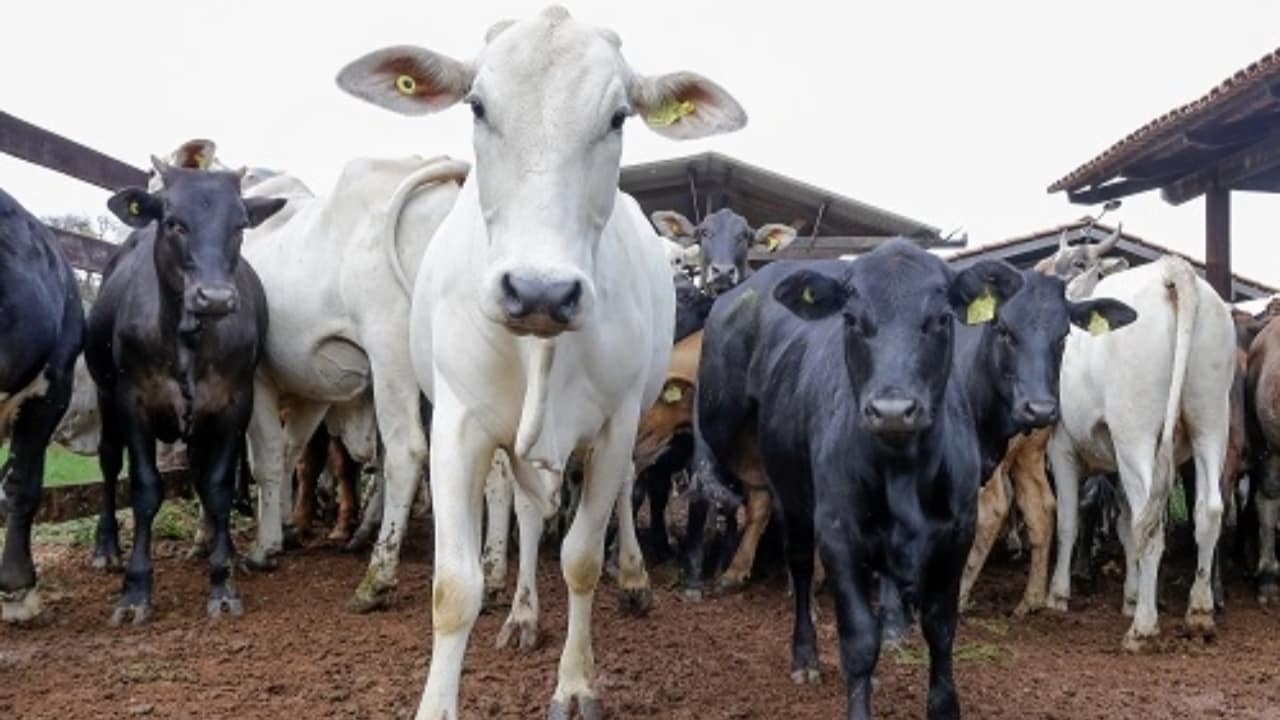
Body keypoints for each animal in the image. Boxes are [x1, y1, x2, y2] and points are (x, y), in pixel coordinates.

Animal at [87, 159, 282, 620]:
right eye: (174, 222)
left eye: (240, 225)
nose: (215, 297)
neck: (188, 341)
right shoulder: (133, 402)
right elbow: (144, 489)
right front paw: (135, 590)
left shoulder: (234, 403)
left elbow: (217, 486)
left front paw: (223, 579)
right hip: (104, 395)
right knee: (108, 463)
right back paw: (106, 547)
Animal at [337, 7, 747, 717]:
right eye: (477, 105)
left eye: (618, 117)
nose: (540, 291)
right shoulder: (459, 426)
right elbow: (454, 588)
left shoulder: (615, 427)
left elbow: (582, 557)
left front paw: (576, 683)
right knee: (528, 515)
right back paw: (524, 613)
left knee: (618, 502)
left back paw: (634, 578)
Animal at [1044, 254, 1233, 648]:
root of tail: (1173, 270)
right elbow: (1124, 524)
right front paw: (1130, 597)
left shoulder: (1062, 446)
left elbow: (1068, 521)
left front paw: (1058, 595)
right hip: (1211, 421)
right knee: (1207, 511)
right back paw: (1199, 613)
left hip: (1136, 434)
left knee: (1152, 525)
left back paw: (1143, 626)